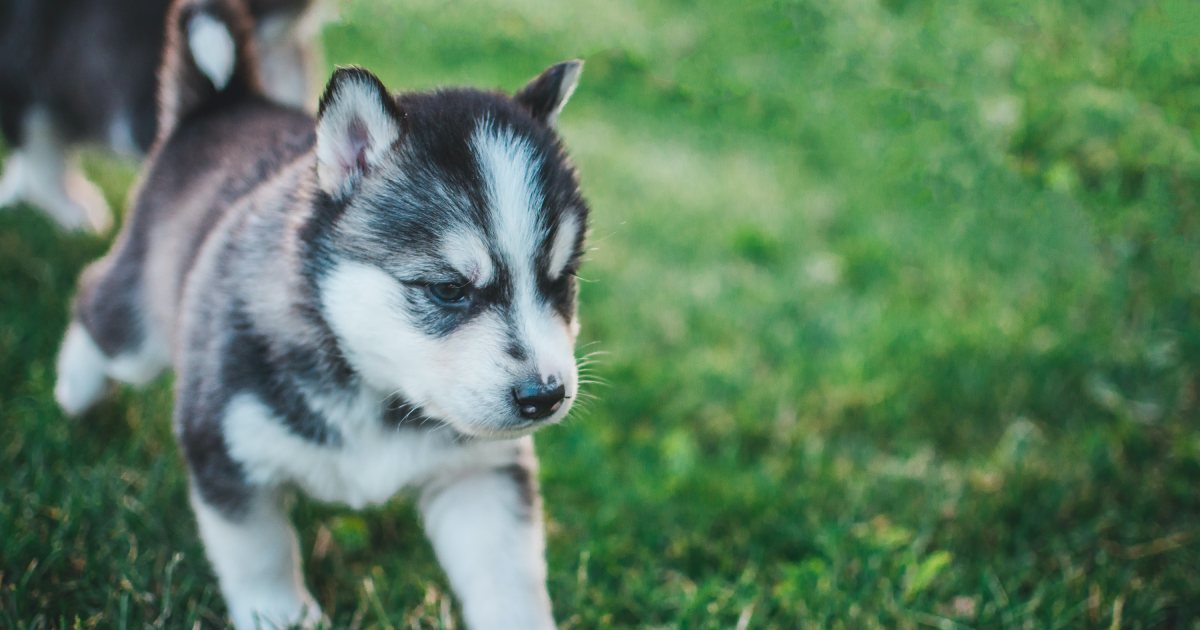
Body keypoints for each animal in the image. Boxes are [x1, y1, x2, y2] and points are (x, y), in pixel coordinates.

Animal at [54, 0, 588, 624]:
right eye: (448, 289)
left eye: (562, 281)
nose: (545, 396)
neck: (370, 383)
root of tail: (228, 102)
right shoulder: (225, 449)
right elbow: (260, 555)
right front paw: (282, 616)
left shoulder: (479, 475)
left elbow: (508, 578)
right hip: (142, 323)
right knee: (98, 303)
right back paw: (75, 389)